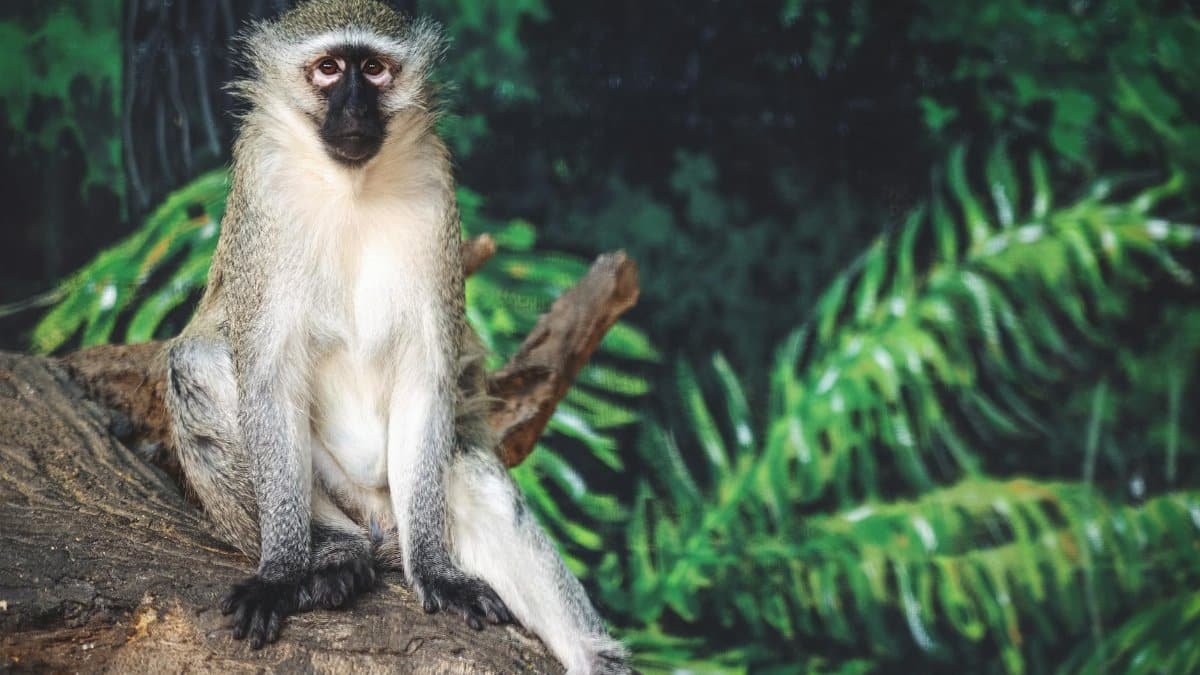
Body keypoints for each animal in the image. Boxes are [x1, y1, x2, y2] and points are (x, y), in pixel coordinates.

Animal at [162, 1, 630, 673]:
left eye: (376, 70)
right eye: (329, 69)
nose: (355, 108)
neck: (351, 188)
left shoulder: (437, 195)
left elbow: (426, 380)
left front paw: (436, 571)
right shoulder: (262, 186)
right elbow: (267, 379)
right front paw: (282, 571)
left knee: (471, 477)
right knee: (197, 362)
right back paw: (334, 555)